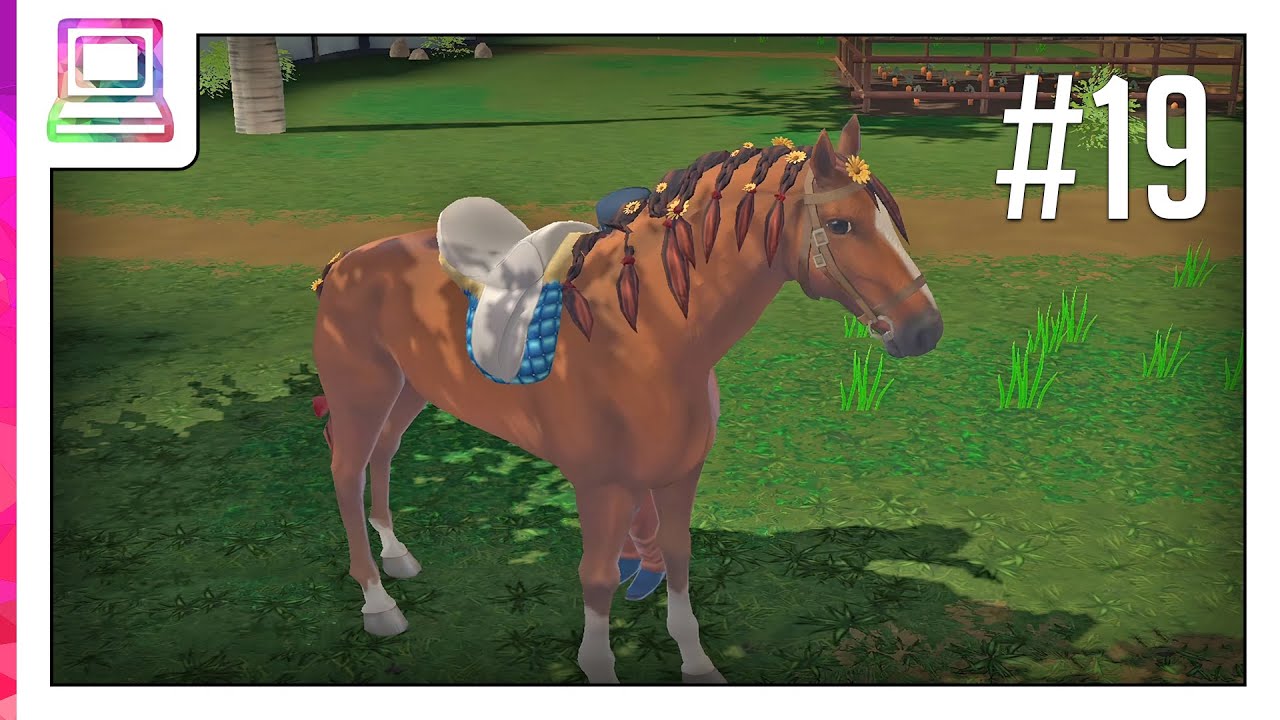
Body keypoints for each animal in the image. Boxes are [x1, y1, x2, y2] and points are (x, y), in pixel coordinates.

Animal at [309, 113, 943, 683]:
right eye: (840, 225)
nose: (924, 330)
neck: (646, 335)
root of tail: (344, 263)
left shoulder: (680, 475)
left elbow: (679, 556)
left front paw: (697, 664)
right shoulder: (601, 486)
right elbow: (598, 576)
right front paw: (600, 667)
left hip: (408, 390)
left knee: (384, 455)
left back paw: (398, 557)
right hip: (363, 395)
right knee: (347, 473)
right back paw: (379, 604)